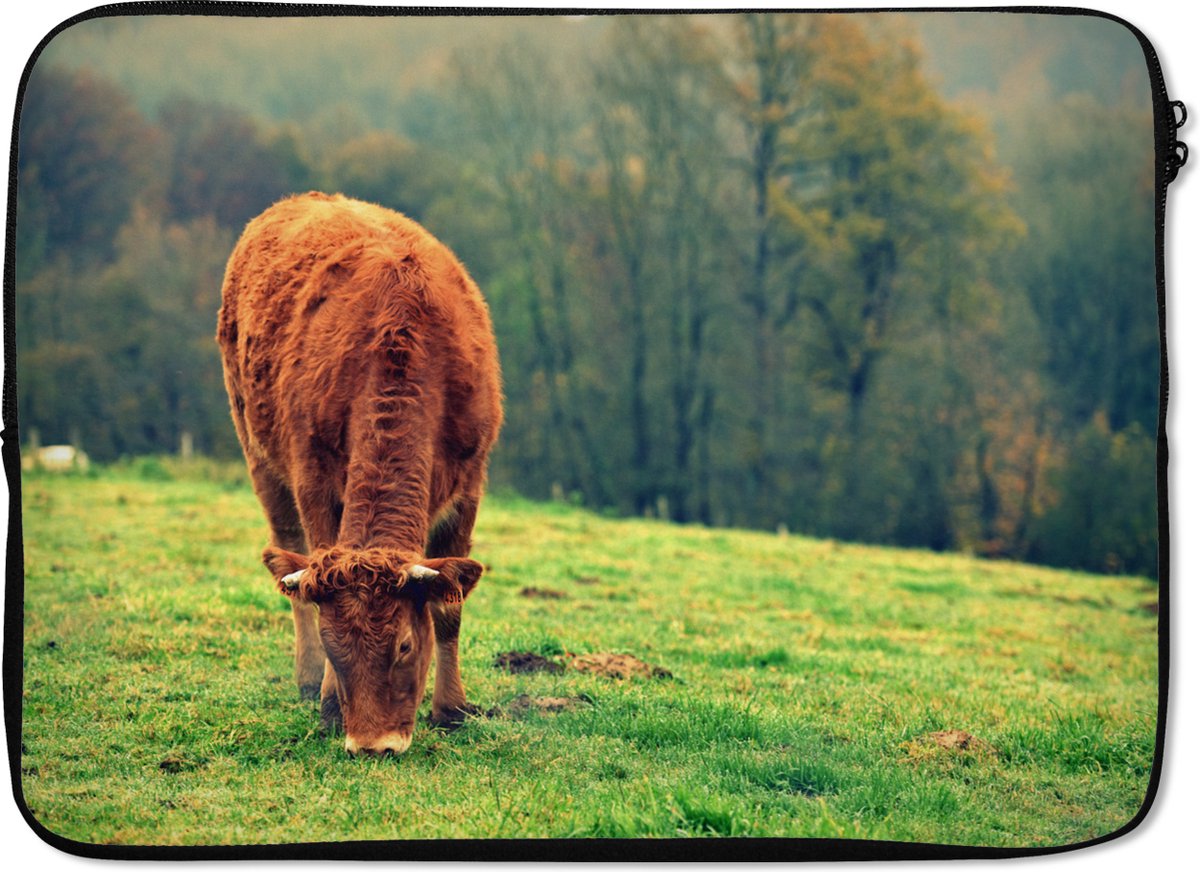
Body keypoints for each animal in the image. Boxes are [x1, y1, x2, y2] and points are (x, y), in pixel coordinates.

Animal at [216, 192, 502, 755]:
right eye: (335, 645)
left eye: (406, 645)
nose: (373, 746)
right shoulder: (313, 478)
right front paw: (330, 703)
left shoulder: (469, 485)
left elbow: (450, 609)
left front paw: (452, 710)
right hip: (258, 451)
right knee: (285, 549)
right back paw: (307, 681)